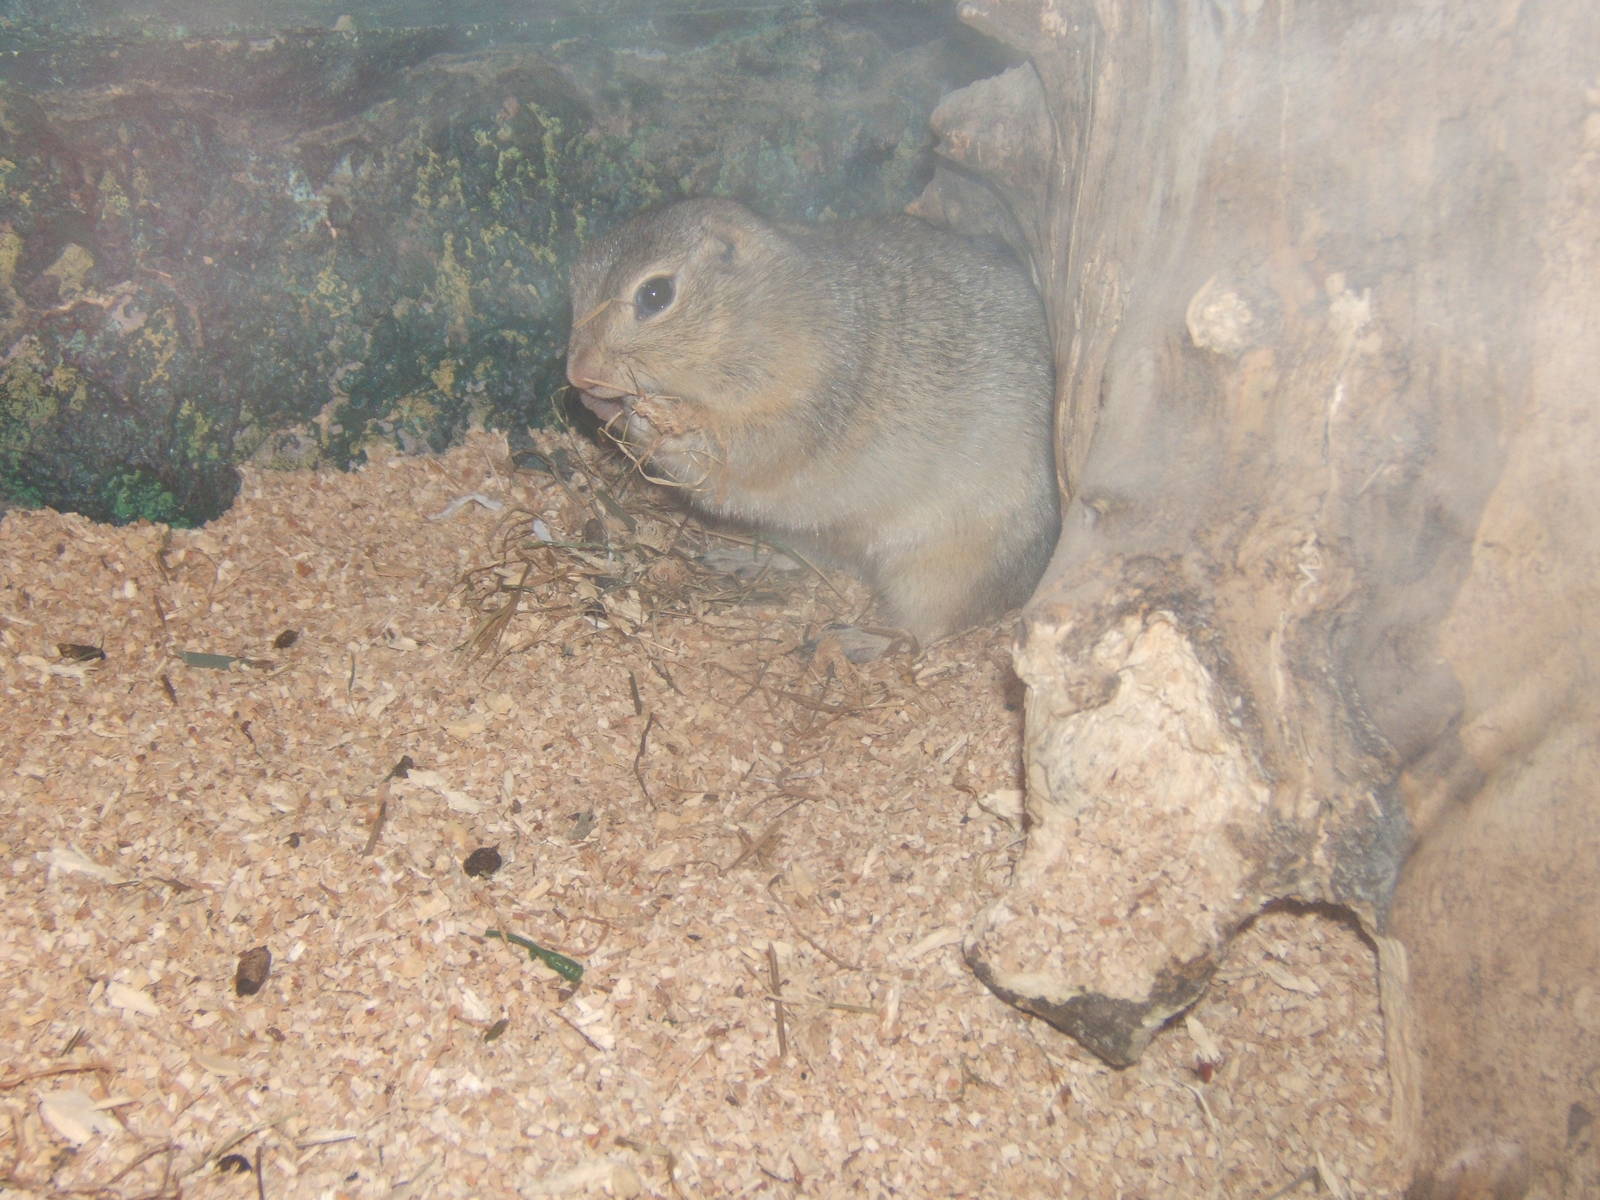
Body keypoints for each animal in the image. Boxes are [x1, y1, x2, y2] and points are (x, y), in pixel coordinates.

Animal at [565, 197, 1058, 642]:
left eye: (655, 294)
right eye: (576, 278)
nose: (576, 374)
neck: (766, 315)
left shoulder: (802, 404)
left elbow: (730, 449)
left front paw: (649, 415)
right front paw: (602, 406)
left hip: (945, 569)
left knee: (927, 630)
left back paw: (858, 639)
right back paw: (744, 559)